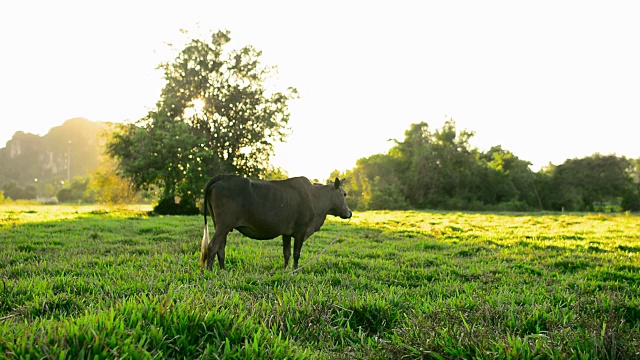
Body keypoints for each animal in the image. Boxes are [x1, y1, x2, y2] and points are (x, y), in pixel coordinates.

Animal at [199, 174, 352, 270]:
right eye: (344, 194)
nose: (350, 213)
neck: (315, 198)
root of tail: (224, 176)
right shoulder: (301, 230)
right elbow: (296, 253)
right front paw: (295, 270)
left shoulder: (286, 232)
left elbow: (287, 253)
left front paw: (285, 270)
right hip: (223, 225)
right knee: (212, 247)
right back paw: (209, 271)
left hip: (221, 226)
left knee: (220, 248)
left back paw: (223, 270)